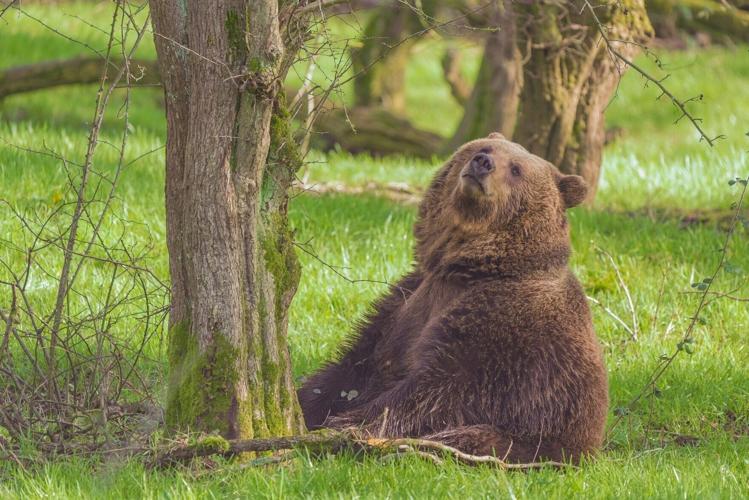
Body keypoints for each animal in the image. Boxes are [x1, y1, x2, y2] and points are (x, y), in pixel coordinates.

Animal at [298, 133, 608, 463]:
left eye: (516, 169)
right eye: (484, 147)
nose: (483, 163)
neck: (464, 267)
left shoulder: (499, 329)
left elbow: (434, 391)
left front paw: (346, 425)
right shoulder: (404, 302)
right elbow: (352, 368)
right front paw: (308, 404)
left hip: (531, 438)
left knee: (464, 438)